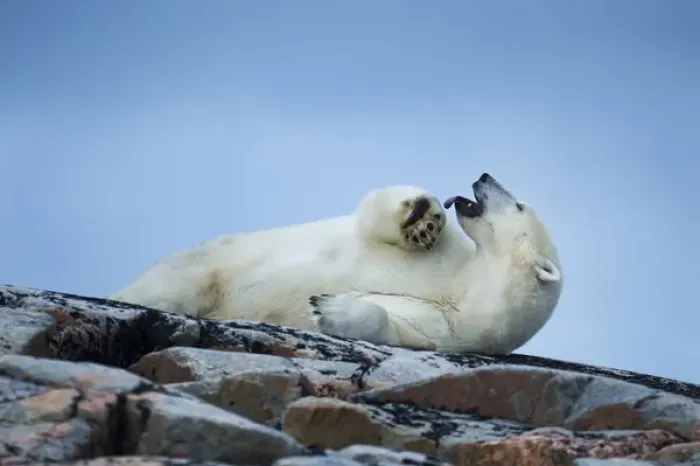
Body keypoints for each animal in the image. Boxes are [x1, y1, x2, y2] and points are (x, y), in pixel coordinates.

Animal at [108, 172, 563, 355]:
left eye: (518, 205)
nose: (484, 175)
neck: (464, 288)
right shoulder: (448, 257)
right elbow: (375, 216)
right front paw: (422, 218)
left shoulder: (451, 331)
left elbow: (393, 326)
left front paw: (328, 307)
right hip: (208, 261)